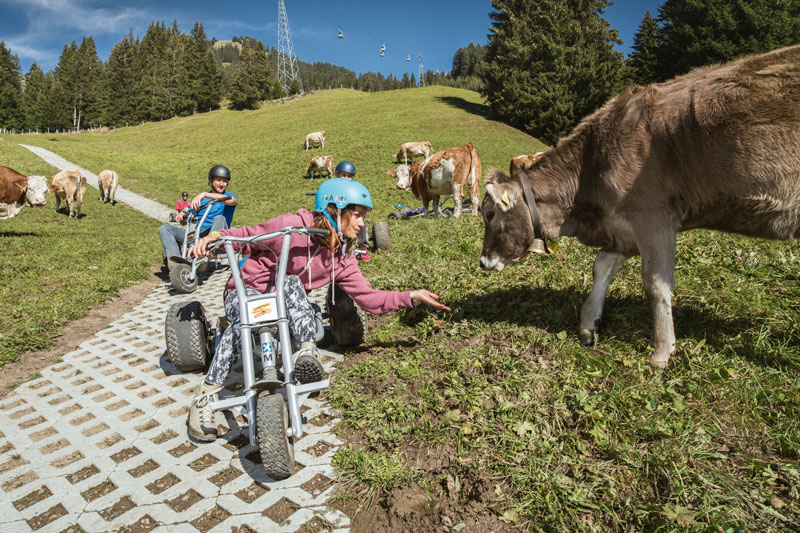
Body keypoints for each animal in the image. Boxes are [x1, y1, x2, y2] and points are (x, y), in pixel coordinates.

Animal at [478, 44, 800, 370]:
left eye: (490, 214)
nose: (483, 262)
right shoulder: (622, 226)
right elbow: (602, 267)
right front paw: (589, 324)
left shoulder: (652, 217)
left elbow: (655, 284)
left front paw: (661, 351)